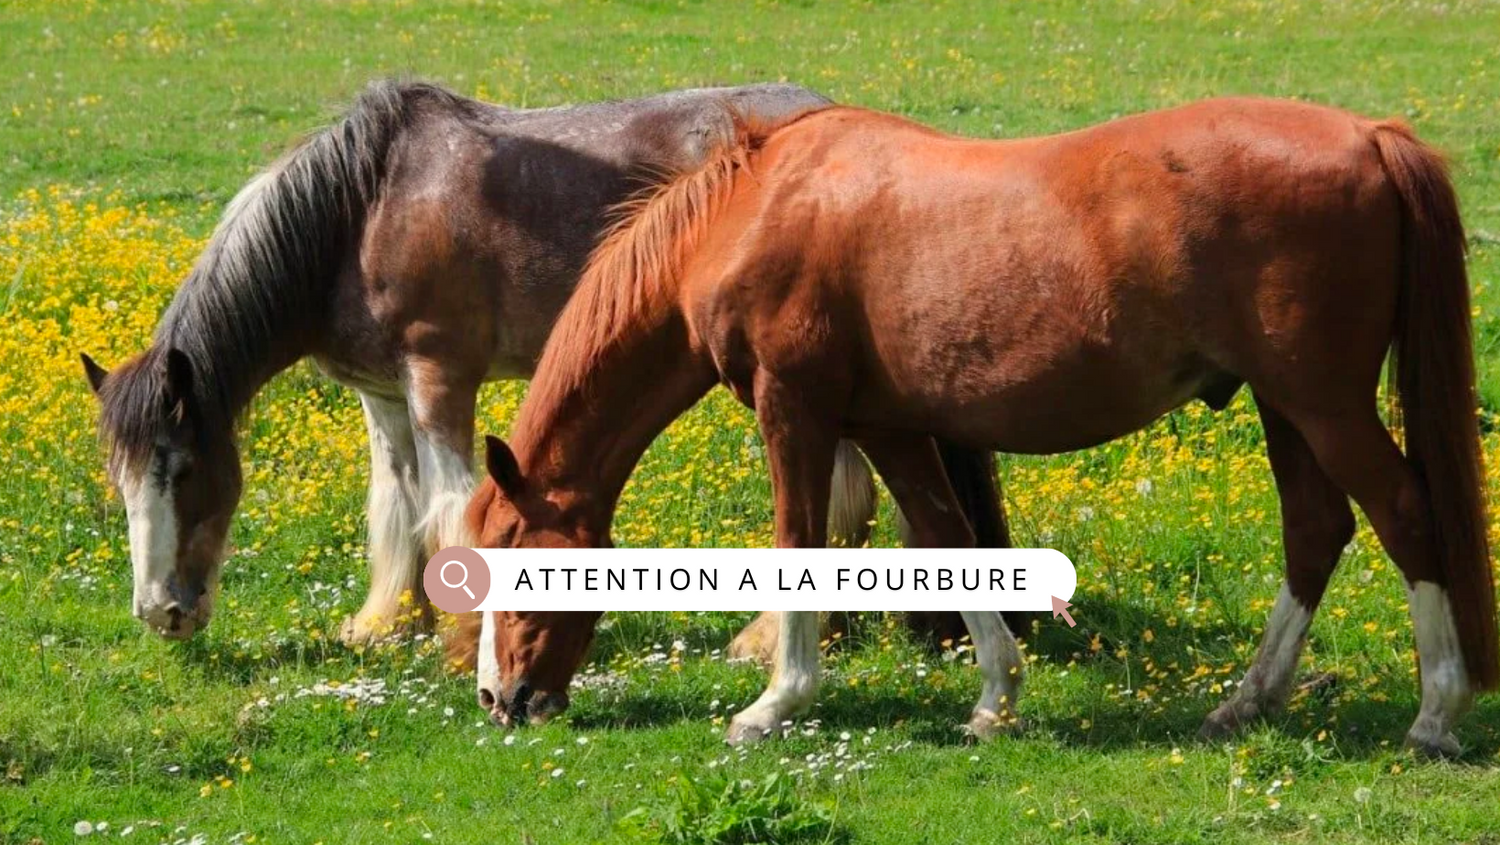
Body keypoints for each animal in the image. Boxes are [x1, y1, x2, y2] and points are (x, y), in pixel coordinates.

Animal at [79, 79, 997, 647]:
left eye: (183, 468)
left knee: (836, 501)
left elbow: (449, 509)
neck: (361, 211)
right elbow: (395, 506)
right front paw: (388, 624)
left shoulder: (438, 377)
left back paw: (772, 638)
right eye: (119, 483)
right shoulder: (383, 395)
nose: (161, 612)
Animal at [462, 98, 1498, 755]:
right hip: (1286, 405)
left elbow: (800, 546)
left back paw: (1435, 714)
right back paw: (1247, 701)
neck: (751, 214)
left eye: (519, 561)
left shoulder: (794, 410)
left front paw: (774, 704)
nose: (497, 698)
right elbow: (947, 541)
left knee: (1404, 513)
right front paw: (996, 698)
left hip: (1323, 401)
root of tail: (1370, 138)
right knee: (1316, 530)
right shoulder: (884, 424)